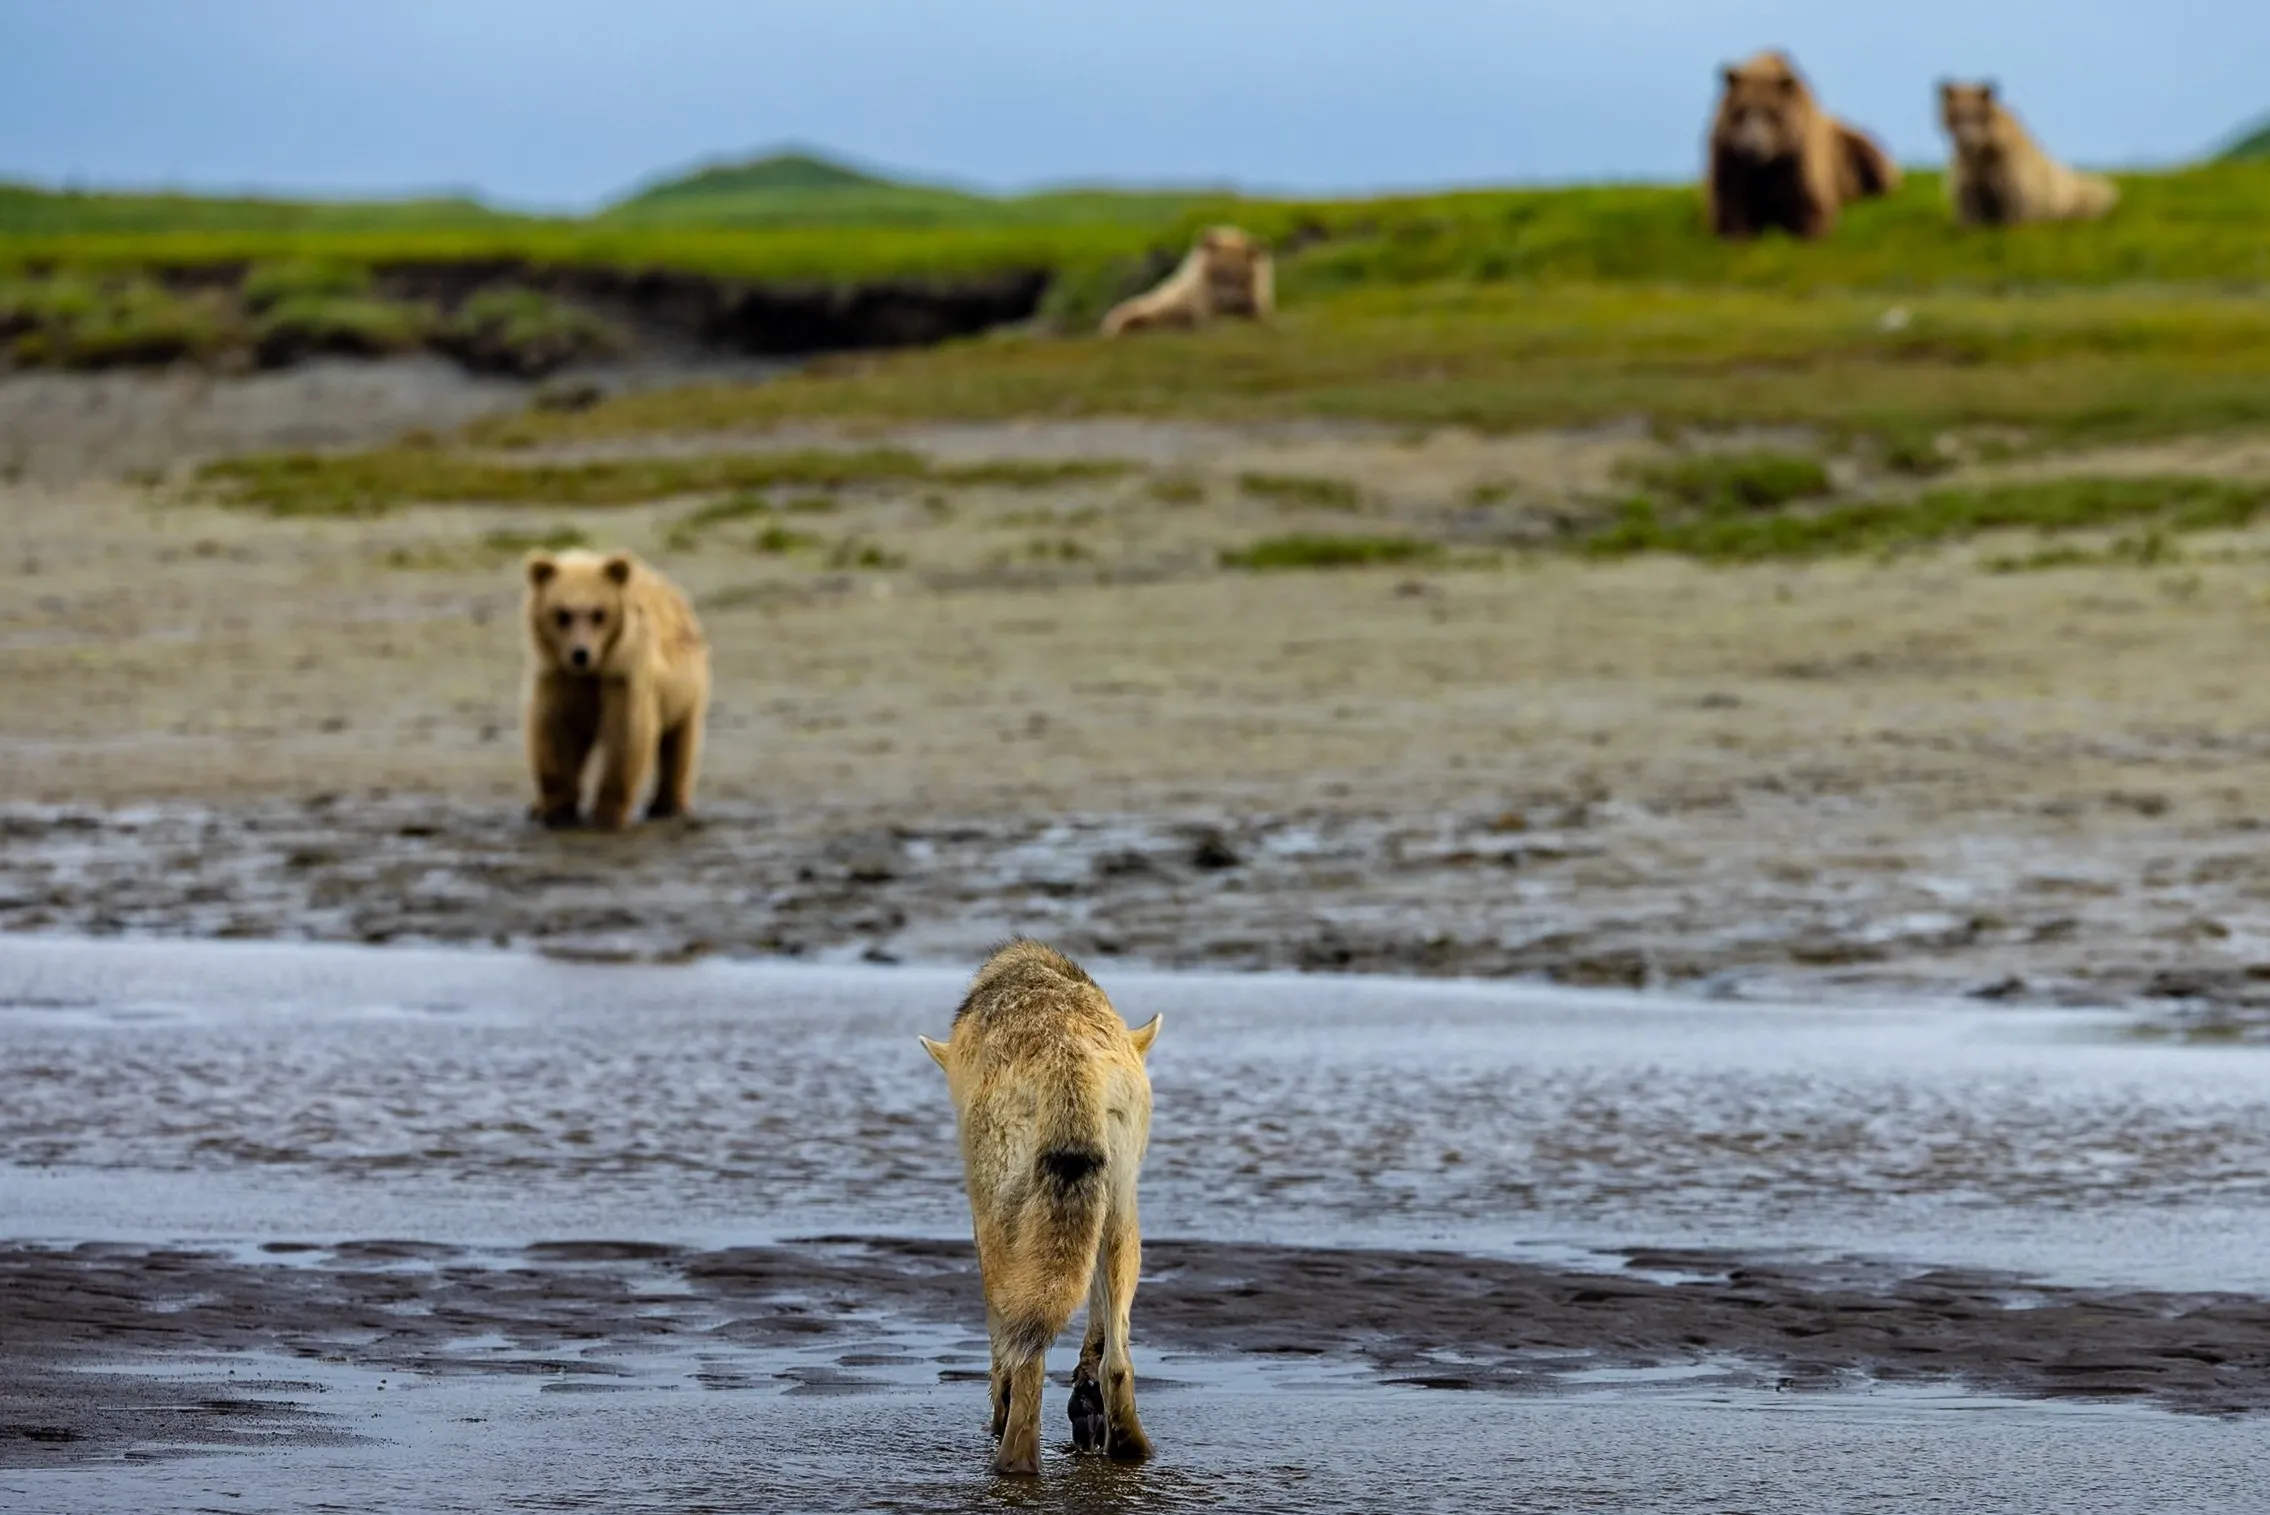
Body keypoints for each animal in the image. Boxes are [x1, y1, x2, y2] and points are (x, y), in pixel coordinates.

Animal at [521, 548, 710, 831]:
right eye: (562, 614)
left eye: (599, 613)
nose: (580, 654)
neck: (593, 672)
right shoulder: (559, 678)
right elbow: (555, 732)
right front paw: (558, 810)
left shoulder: (624, 677)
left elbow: (627, 735)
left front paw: (607, 814)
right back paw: (534, 808)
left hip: (686, 690)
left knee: (679, 743)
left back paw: (667, 806)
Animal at [920, 940, 1162, 1476]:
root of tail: (1065, 1055)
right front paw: (1085, 1399)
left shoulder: (983, 1220)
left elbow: (1001, 1344)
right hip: (1121, 1216)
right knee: (1118, 1364)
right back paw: (1127, 1446)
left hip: (1008, 1226)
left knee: (1027, 1362)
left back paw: (1012, 1461)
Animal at [1707, 50, 1900, 241]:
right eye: (1740, 111)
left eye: (1771, 113)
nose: (1751, 145)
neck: (1770, 162)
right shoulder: (1730, 158)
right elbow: (1731, 202)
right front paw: (1739, 232)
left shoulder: (1799, 158)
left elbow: (1812, 204)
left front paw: (1808, 229)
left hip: (1852, 144)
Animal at [1939, 81, 2118, 227]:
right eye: (1956, 115)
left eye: (1977, 115)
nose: (1966, 138)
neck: (1985, 152)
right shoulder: (1970, 172)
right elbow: (1969, 203)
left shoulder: (2007, 170)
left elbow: (2013, 205)